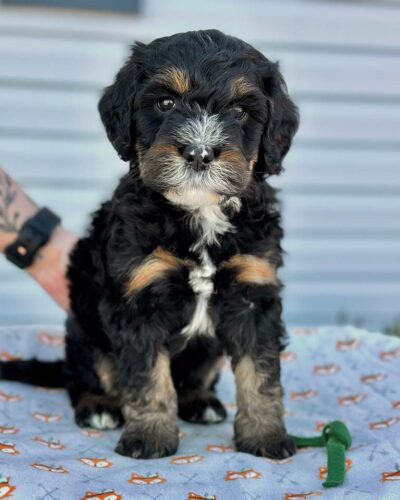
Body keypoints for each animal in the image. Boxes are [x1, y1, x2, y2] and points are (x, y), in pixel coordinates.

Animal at [0, 29, 298, 458]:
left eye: (241, 111)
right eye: (166, 102)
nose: (199, 152)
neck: (198, 213)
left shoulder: (253, 291)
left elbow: (260, 374)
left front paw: (265, 436)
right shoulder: (138, 296)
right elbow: (147, 376)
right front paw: (150, 437)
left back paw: (200, 401)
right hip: (85, 325)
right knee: (84, 374)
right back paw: (98, 406)